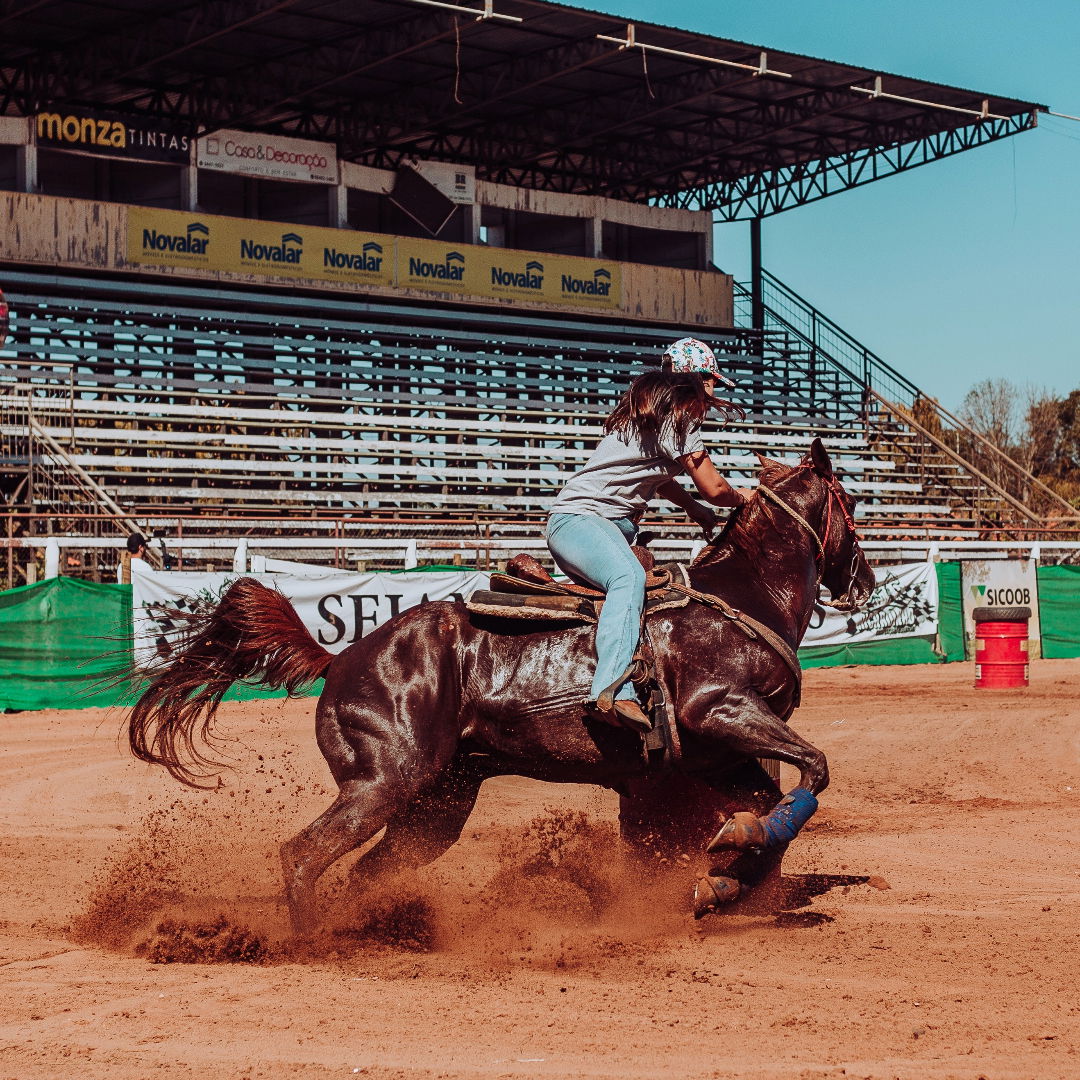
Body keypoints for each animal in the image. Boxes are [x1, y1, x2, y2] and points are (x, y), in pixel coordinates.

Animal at [128, 439, 875, 934]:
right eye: (853, 502)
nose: (864, 581)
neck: (741, 597)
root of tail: (340, 659)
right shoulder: (719, 711)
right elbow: (815, 769)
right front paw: (724, 869)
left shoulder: (716, 756)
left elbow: (772, 815)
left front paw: (722, 877)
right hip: (384, 783)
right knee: (303, 854)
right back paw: (312, 942)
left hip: (436, 805)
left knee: (366, 871)